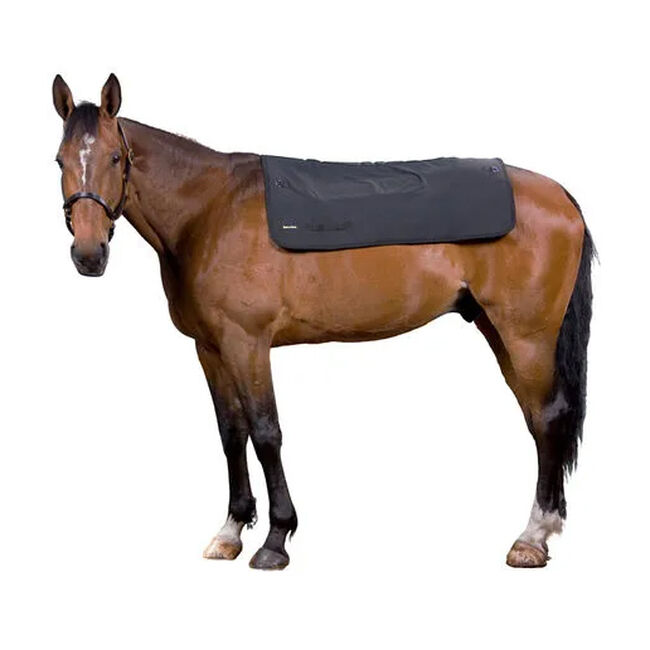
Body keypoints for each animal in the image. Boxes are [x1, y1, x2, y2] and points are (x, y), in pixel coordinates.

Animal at [52, 73, 593, 570]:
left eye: (116, 159)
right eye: (59, 160)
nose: (88, 255)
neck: (207, 211)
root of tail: (561, 195)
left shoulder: (247, 343)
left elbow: (265, 433)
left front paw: (275, 540)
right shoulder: (210, 348)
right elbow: (230, 434)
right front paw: (231, 530)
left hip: (526, 337)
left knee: (548, 418)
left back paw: (532, 539)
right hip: (499, 332)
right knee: (538, 420)